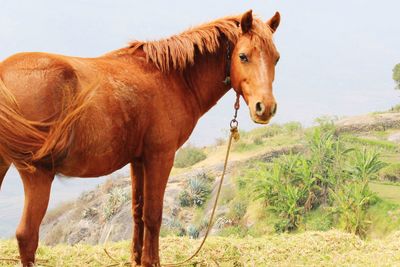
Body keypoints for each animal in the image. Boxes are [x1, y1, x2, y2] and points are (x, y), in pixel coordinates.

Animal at [0, 9, 280, 267]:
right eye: (243, 56)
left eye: (276, 58)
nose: (265, 108)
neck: (173, 78)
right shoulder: (160, 157)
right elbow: (153, 214)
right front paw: (150, 261)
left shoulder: (137, 160)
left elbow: (137, 211)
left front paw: (136, 258)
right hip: (38, 175)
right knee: (27, 235)